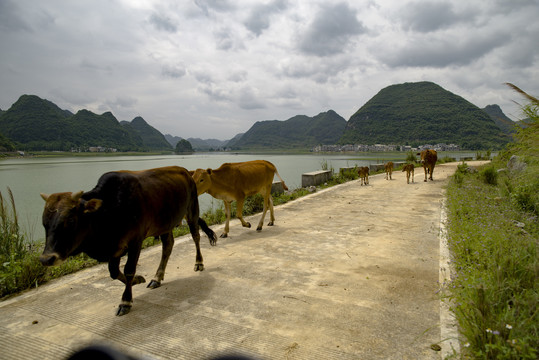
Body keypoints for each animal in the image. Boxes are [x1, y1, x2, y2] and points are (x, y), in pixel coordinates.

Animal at [39, 166, 217, 316]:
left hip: (192, 211)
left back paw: (199, 263)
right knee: (168, 246)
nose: (47, 258)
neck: (109, 208)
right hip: (165, 224)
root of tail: (186, 172)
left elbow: (129, 270)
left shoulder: (135, 241)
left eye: (70, 220)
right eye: (44, 223)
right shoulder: (115, 247)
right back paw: (157, 278)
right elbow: (113, 272)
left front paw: (126, 301)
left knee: (195, 236)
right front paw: (138, 280)